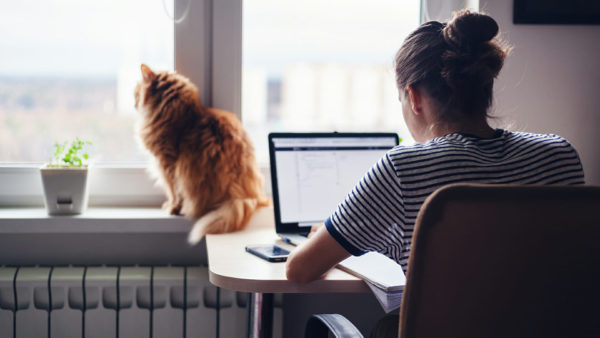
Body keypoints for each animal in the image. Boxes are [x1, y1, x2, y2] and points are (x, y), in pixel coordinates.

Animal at [136, 64, 270, 243]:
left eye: (136, 91)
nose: (134, 101)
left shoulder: (167, 164)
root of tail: (244, 196)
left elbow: (173, 192)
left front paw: (172, 208)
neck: (180, 113)